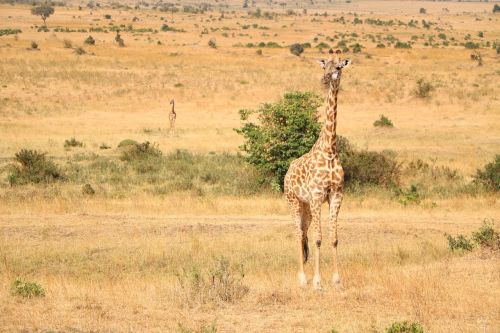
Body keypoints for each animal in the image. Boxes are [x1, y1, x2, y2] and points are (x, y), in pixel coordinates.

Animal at [286, 50, 352, 290]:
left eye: (339, 67)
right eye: (324, 66)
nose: (325, 79)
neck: (330, 149)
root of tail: (287, 171)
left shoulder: (336, 195)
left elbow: (333, 238)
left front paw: (337, 281)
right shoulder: (316, 196)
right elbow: (318, 239)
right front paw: (317, 282)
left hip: (306, 206)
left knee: (303, 233)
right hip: (293, 201)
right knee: (298, 234)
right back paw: (302, 279)